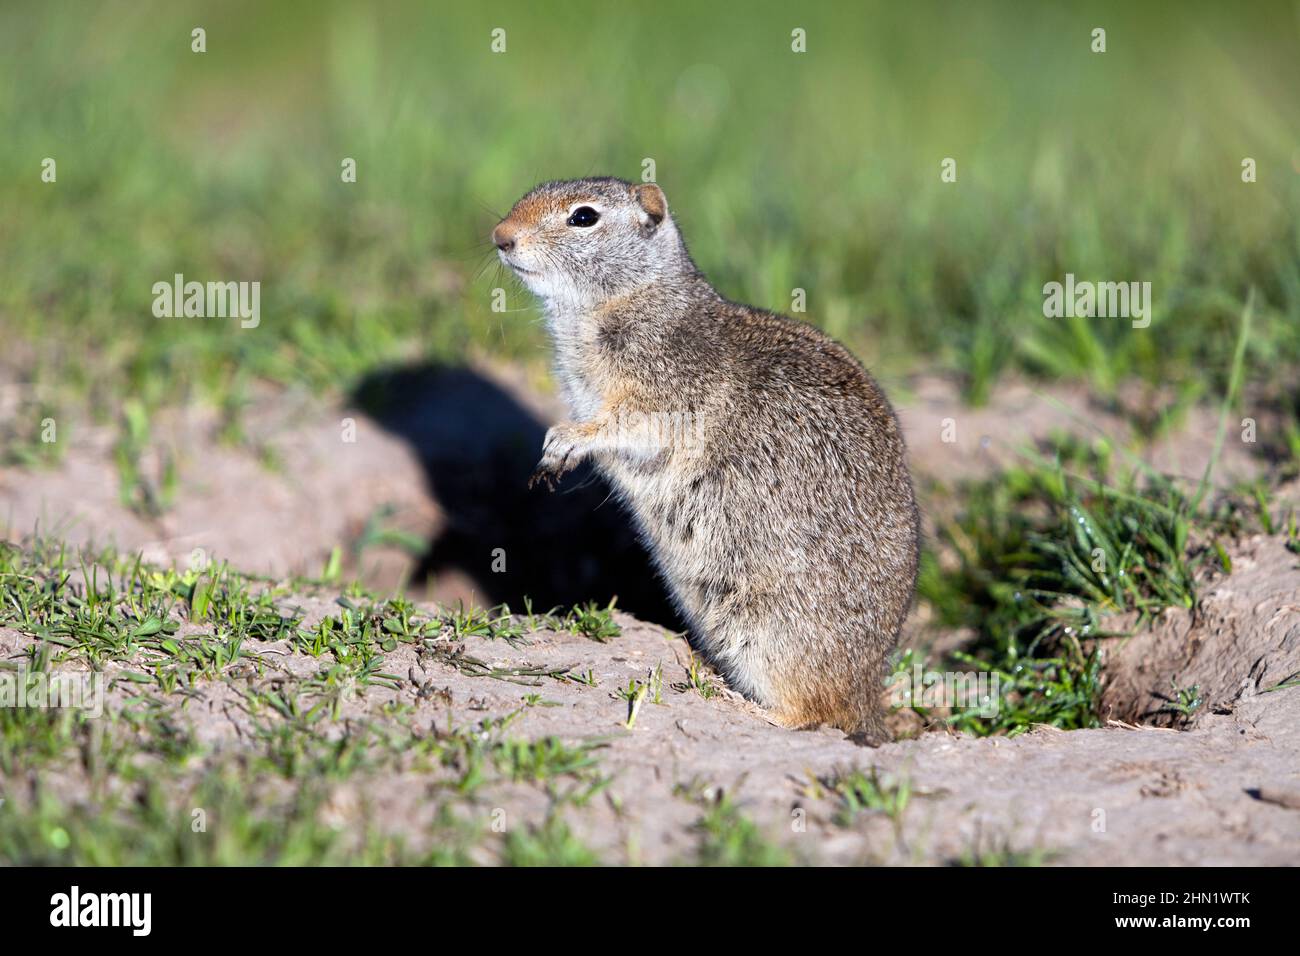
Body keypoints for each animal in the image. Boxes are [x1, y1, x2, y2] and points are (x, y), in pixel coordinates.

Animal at [491, 180, 920, 749]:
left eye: (583, 217)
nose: (500, 235)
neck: (631, 298)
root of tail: (870, 694)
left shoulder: (668, 388)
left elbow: (631, 421)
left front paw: (566, 440)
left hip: (770, 632)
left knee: (814, 711)